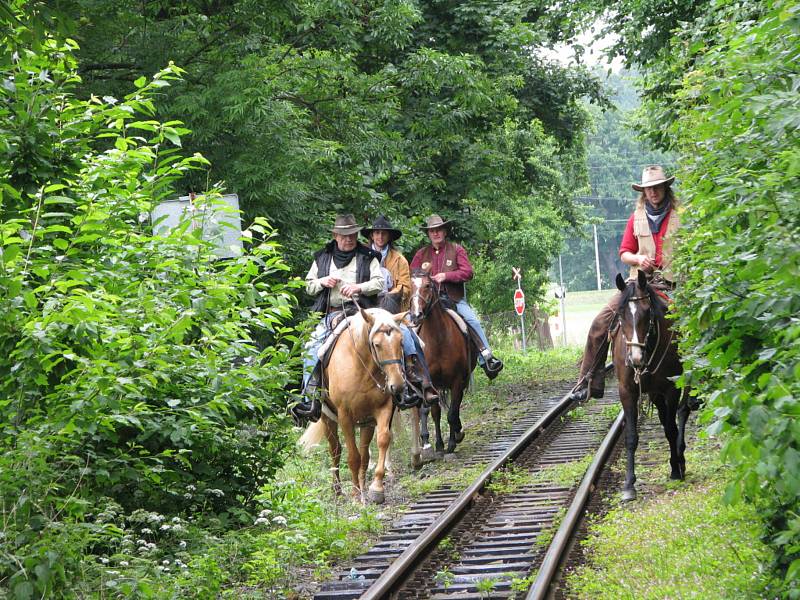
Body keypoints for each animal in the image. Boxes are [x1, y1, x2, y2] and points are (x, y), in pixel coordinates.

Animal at [300, 302, 410, 504]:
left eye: (400, 342)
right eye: (377, 344)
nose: (397, 386)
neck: (362, 366)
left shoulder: (381, 410)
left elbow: (382, 441)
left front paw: (376, 488)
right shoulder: (345, 417)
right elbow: (352, 457)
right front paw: (356, 495)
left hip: (366, 423)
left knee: (364, 454)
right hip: (328, 418)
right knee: (335, 449)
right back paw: (338, 490)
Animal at [410, 270, 478, 458]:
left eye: (427, 285)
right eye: (410, 286)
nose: (416, 315)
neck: (438, 339)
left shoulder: (457, 381)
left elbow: (452, 413)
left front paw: (454, 440)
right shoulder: (431, 383)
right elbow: (436, 413)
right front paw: (439, 444)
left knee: (454, 408)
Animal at [608, 272, 692, 502]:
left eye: (647, 312)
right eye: (620, 314)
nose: (635, 358)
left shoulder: (672, 388)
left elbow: (671, 429)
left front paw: (675, 471)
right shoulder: (627, 391)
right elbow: (631, 437)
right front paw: (629, 485)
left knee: (682, 412)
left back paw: (680, 459)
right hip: (655, 393)